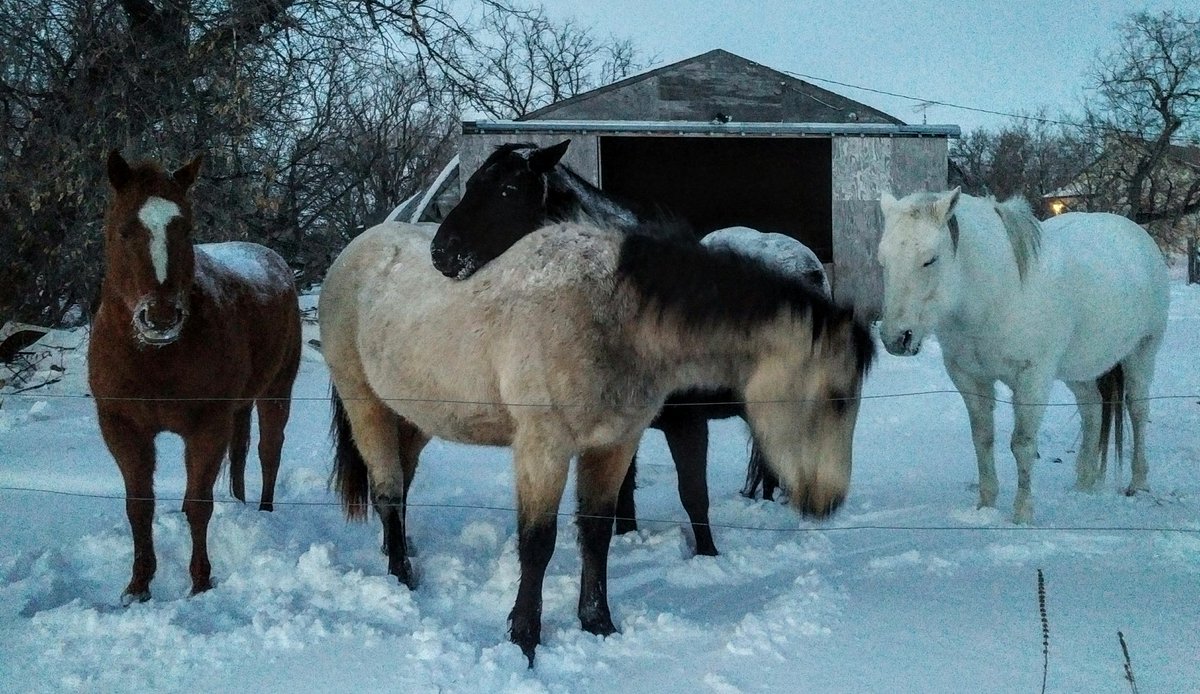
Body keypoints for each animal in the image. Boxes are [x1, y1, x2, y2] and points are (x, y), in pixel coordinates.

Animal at [88, 151, 301, 603]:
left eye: (185, 228)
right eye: (124, 229)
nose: (160, 318)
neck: (156, 358)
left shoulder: (206, 426)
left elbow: (198, 504)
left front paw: (201, 582)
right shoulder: (122, 427)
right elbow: (139, 504)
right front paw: (138, 586)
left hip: (276, 392)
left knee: (268, 453)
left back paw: (264, 512)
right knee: (241, 455)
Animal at [320, 219, 874, 664]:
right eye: (837, 399)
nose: (827, 502)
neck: (611, 314)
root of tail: (351, 253)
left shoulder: (613, 445)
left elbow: (597, 534)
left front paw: (598, 623)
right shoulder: (543, 447)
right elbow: (537, 544)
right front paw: (525, 640)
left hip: (413, 417)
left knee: (399, 485)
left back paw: (403, 552)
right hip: (366, 404)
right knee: (388, 490)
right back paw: (401, 576)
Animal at [429, 140, 831, 555]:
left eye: (507, 190)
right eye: (470, 185)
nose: (441, 252)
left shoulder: (687, 423)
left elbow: (693, 494)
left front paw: (707, 552)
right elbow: (620, 491)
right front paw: (626, 536)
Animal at [877, 188, 1168, 523]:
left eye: (930, 260)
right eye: (883, 260)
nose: (896, 338)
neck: (998, 294)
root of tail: (1138, 237)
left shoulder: (1033, 379)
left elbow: (1023, 444)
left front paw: (1022, 513)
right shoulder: (970, 379)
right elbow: (983, 439)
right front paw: (986, 506)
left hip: (1142, 354)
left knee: (1138, 411)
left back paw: (1139, 484)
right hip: (1078, 370)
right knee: (1092, 410)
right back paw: (1084, 483)